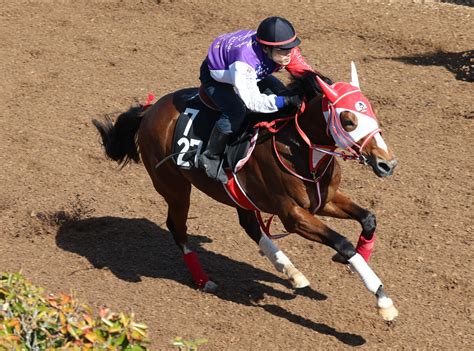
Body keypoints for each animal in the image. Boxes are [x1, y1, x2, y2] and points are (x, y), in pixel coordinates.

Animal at [92, 62, 400, 322]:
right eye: (348, 120)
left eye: (371, 111)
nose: (387, 164)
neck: (299, 149)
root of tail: (149, 111)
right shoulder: (293, 215)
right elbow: (343, 242)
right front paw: (382, 300)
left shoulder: (325, 199)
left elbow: (369, 218)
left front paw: (354, 260)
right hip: (174, 186)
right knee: (177, 226)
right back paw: (204, 280)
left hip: (237, 193)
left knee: (250, 224)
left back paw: (291, 271)